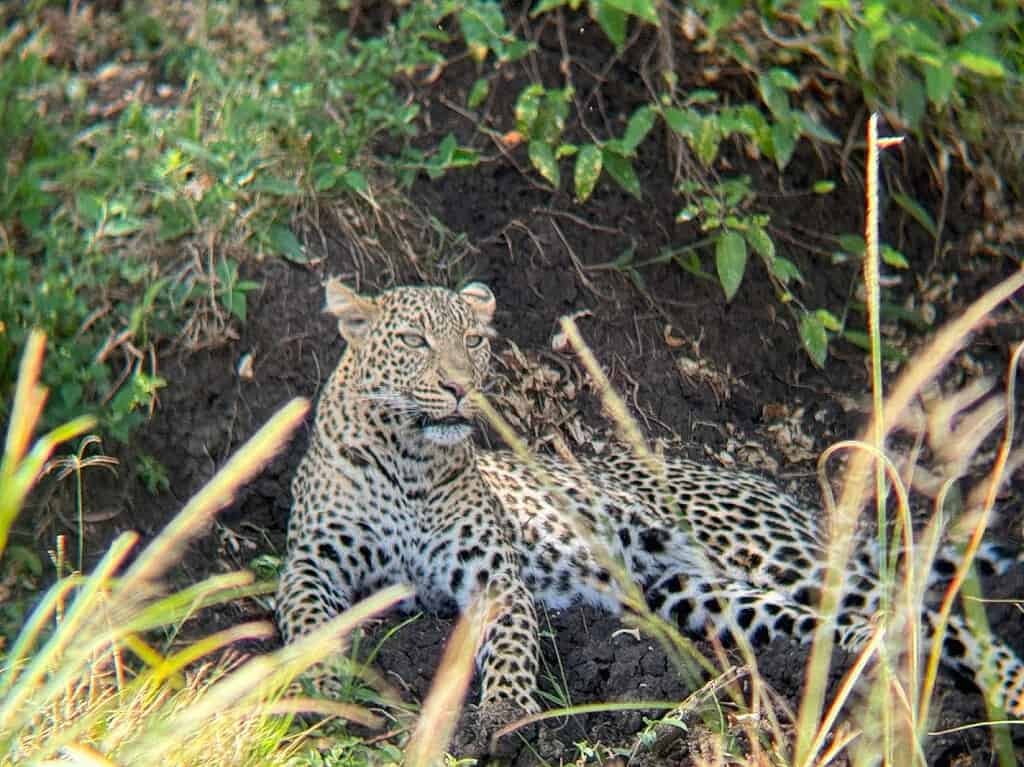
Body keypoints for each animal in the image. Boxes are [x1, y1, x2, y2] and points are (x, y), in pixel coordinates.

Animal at [276, 278, 1024, 744]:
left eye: (476, 341)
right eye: (413, 341)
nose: (461, 387)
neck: (408, 458)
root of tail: (775, 491)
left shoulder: (496, 579)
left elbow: (510, 648)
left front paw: (505, 715)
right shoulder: (310, 562)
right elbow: (307, 618)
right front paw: (315, 681)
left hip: (776, 554)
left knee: (933, 613)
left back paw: (1002, 690)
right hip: (703, 595)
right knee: (859, 624)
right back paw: (868, 670)